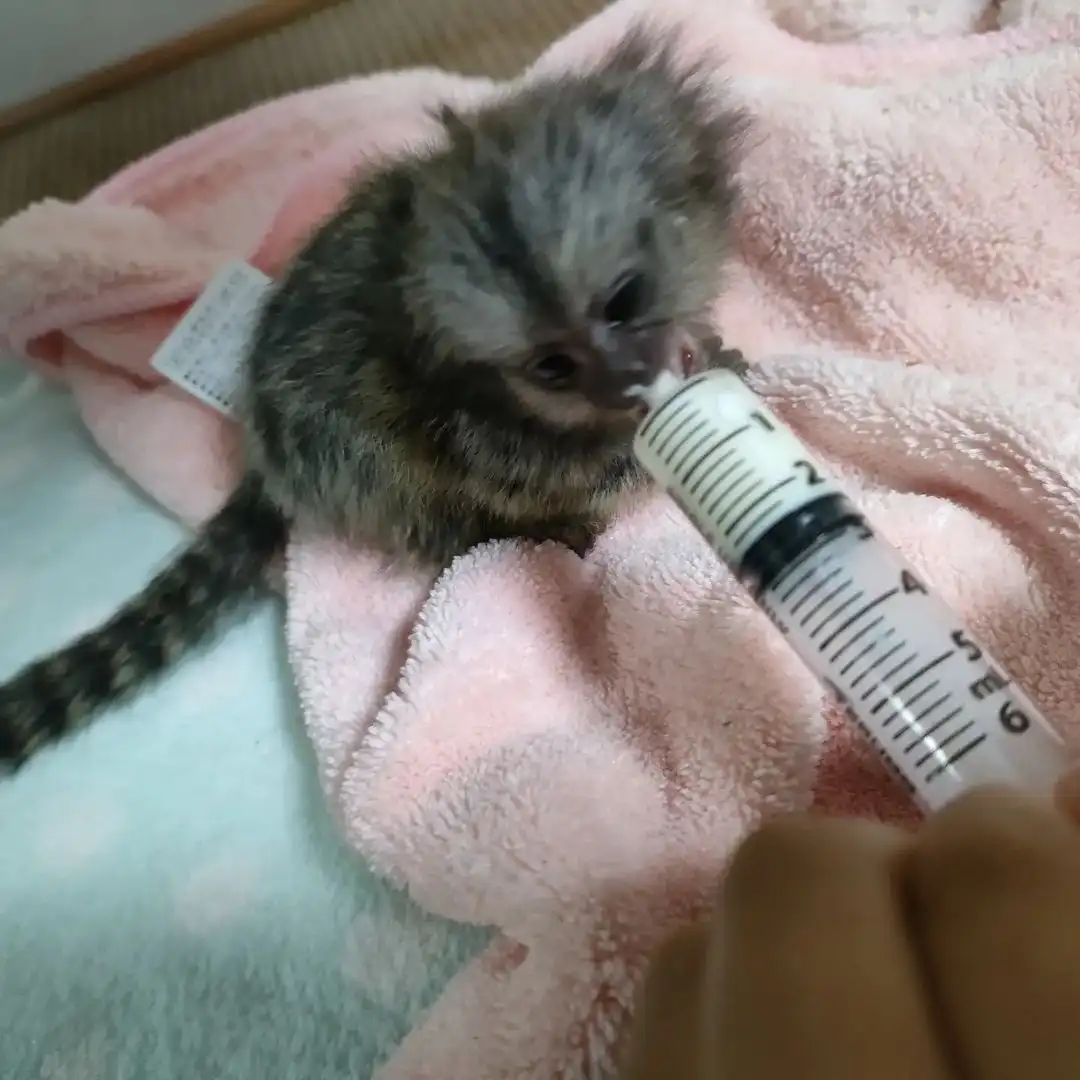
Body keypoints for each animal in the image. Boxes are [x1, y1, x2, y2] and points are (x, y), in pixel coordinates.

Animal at [0, 27, 749, 771]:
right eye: (553, 367)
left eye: (623, 302)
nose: (623, 378)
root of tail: (264, 454)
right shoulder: (474, 424)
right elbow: (553, 470)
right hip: (353, 471)